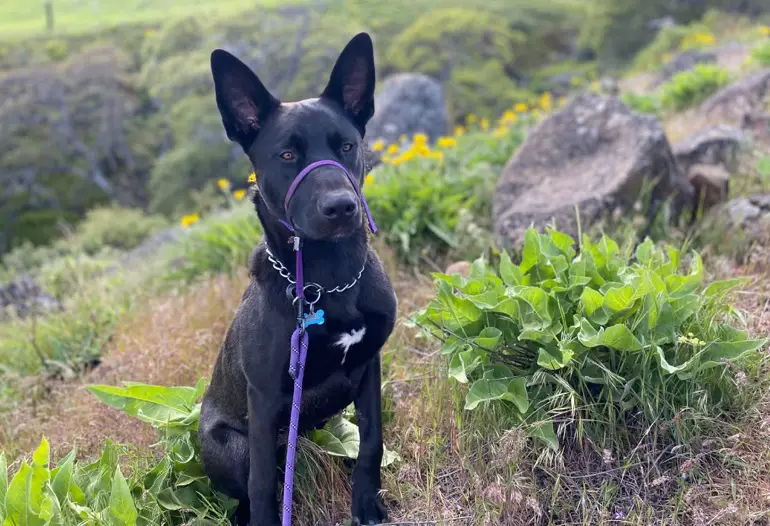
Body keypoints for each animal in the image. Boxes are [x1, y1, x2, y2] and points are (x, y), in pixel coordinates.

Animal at [198, 34, 396, 526]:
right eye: (287, 155)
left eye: (346, 146)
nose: (341, 207)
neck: (329, 281)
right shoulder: (266, 400)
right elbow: (263, 485)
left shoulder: (369, 365)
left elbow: (371, 441)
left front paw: (366, 503)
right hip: (229, 444)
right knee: (247, 487)